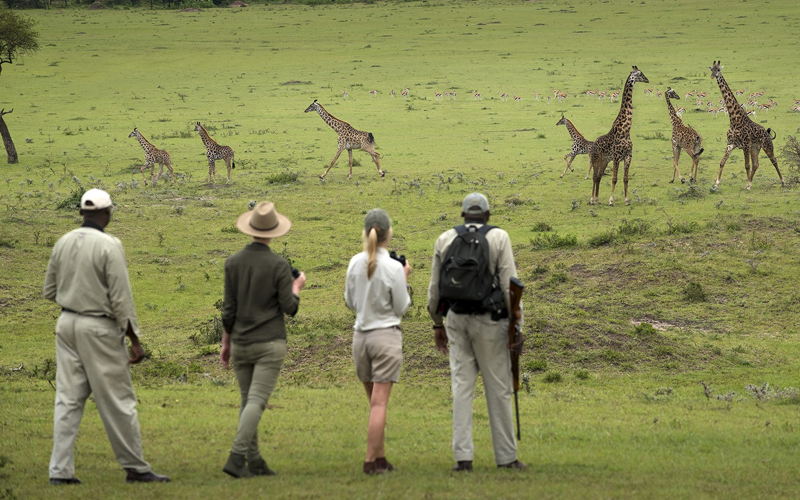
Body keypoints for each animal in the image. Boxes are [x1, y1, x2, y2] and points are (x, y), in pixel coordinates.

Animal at [588, 65, 648, 206]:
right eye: (640, 74)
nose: (647, 79)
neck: (625, 130)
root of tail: (593, 144)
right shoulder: (616, 157)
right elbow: (614, 179)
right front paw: (611, 200)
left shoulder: (628, 156)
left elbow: (625, 179)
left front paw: (627, 200)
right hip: (596, 158)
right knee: (594, 176)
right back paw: (592, 199)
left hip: (604, 160)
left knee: (599, 176)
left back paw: (597, 199)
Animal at [708, 60, 784, 189]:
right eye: (711, 69)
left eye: (718, 70)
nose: (713, 76)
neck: (734, 120)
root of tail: (767, 133)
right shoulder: (731, 143)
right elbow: (722, 162)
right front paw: (716, 183)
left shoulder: (745, 144)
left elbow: (746, 165)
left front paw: (748, 184)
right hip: (755, 148)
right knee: (756, 164)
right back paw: (749, 182)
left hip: (767, 146)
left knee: (774, 160)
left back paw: (782, 182)